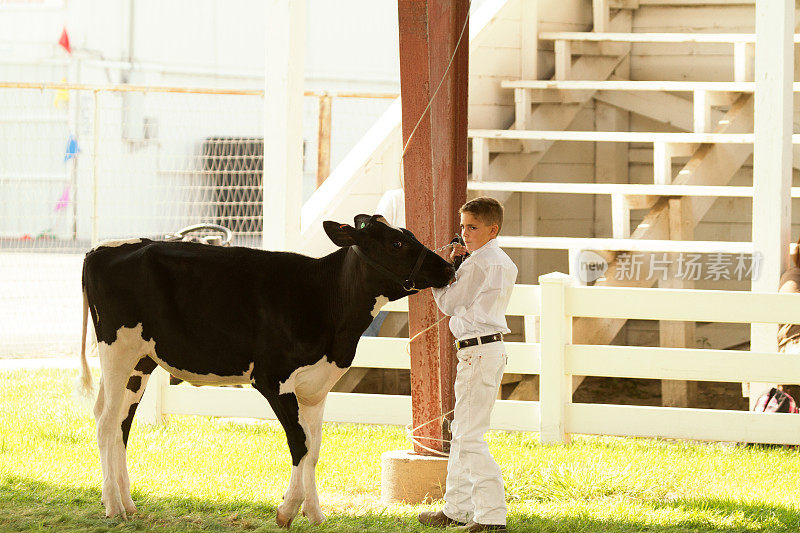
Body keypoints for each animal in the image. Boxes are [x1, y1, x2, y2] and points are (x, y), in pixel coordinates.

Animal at [77, 215, 454, 524]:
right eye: (396, 243)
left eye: (409, 234)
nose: (448, 268)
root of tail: (103, 248)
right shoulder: (273, 381)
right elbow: (299, 444)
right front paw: (288, 510)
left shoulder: (316, 387)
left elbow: (314, 450)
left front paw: (314, 513)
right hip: (117, 349)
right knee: (106, 420)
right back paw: (112, 505)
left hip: (141, 362)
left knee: (122, 423)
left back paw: (128, 503)